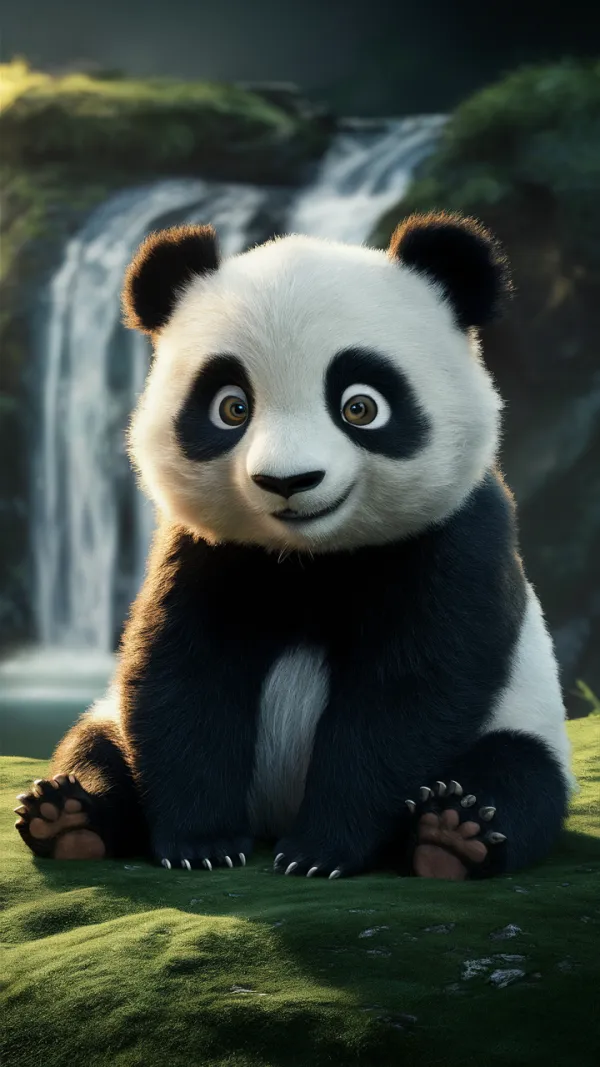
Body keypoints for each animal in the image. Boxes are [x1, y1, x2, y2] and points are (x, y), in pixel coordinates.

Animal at [15, 211, 572, 881]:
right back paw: (69, 816)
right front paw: (201, 845)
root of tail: (271, 813)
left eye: (361, 406)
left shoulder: (454, 539)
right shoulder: (204, 550)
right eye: (232, 407)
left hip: (524, 717)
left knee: (519, 773)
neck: (310, 556)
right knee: (94, 744)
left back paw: (453, 835)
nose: (288, 481)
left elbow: (409, 691)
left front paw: (319, 852)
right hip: (109, 716)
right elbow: (181, 673)